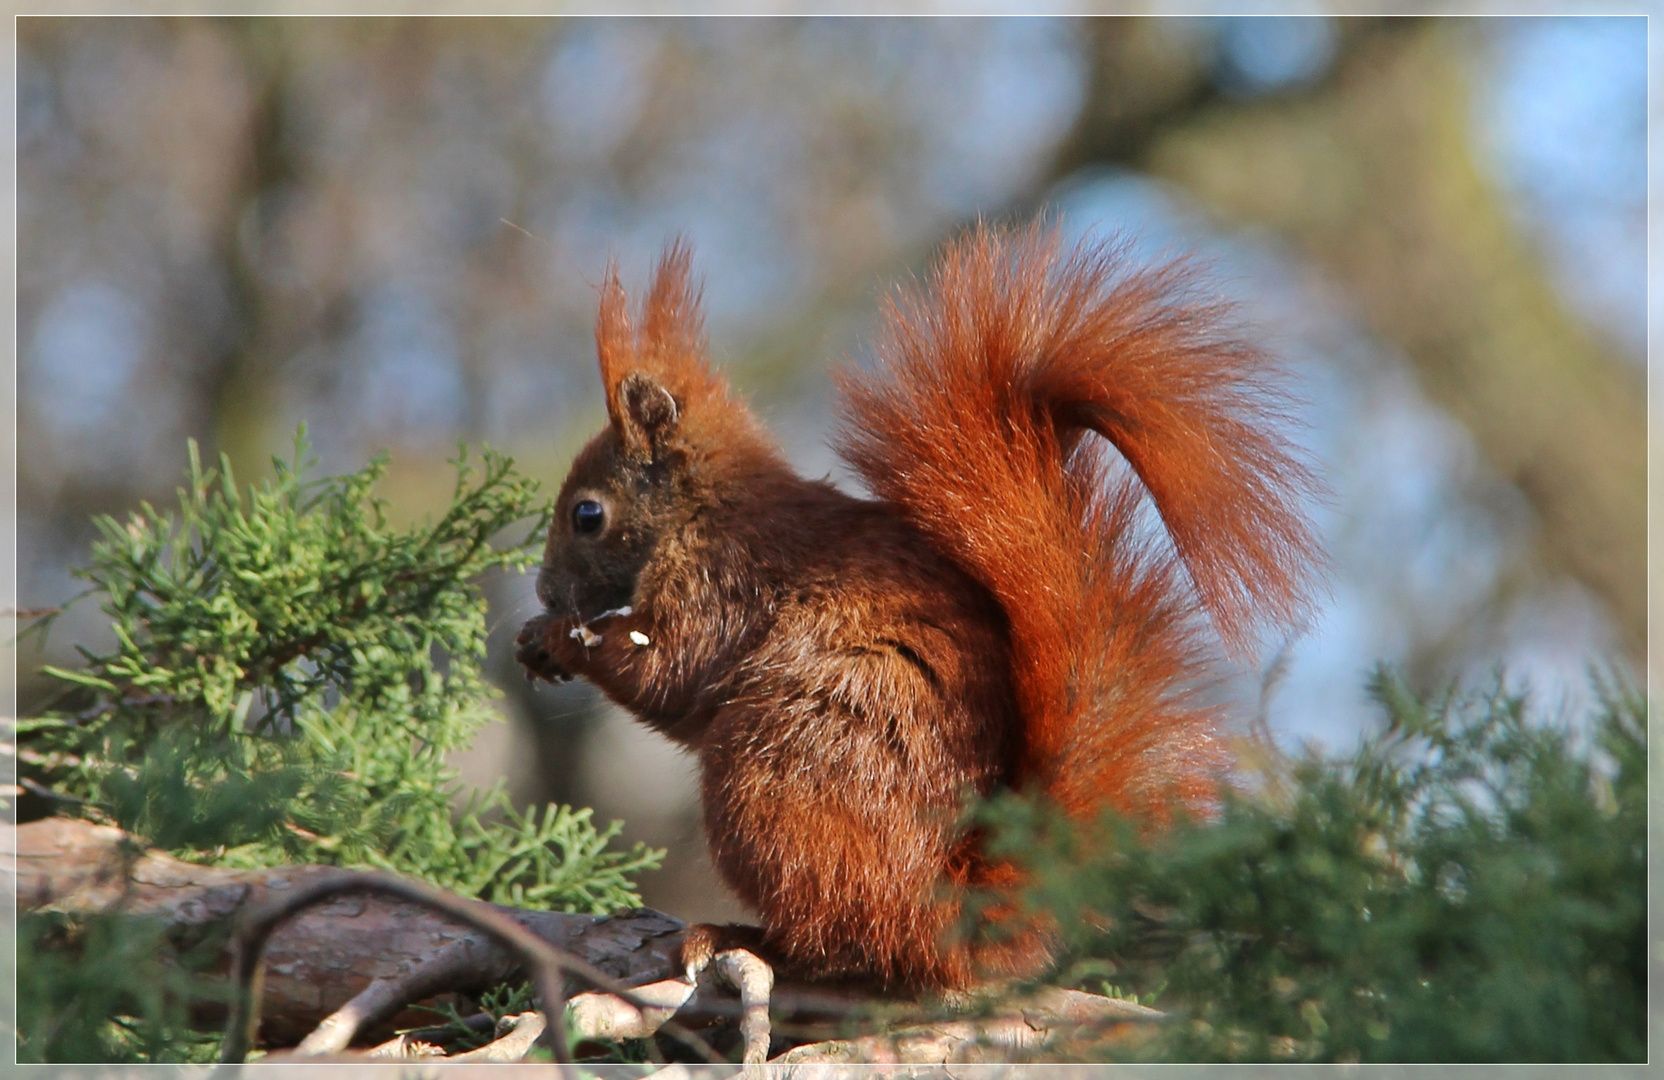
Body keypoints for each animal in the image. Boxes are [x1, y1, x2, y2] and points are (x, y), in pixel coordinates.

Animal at [512, 222, 1317, 991]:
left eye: (587, 515)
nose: (545, 591)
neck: (708, 509)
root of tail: (944, 903)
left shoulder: (725, 583)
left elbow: (669, 673)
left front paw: (560, 639)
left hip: (774, 783)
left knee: (836, 938)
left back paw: (745, 938)